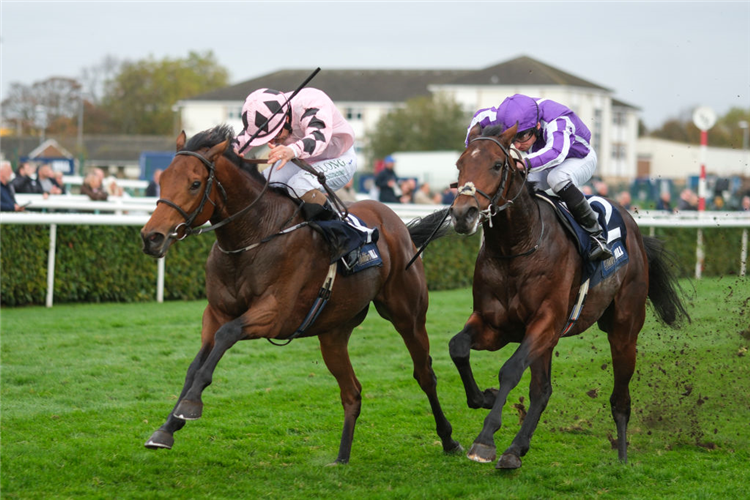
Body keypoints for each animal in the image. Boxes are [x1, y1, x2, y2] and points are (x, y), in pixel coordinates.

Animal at [138, 126, 462, 464]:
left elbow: (227, 335)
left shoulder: (276, 314)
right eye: (164, 179)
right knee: (352, 392)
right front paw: (166, 427)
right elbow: (196, 363)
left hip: (408, 315)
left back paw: (449, 439)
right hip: (334, 332)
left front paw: (189, 406)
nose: (152, 237)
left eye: (195, 183)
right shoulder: (215, 313)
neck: (254, 236)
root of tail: (397, 224)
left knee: (424, 373)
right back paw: (341, 457)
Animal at [450, 124, 692, 468]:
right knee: (542, 390)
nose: (462, 214)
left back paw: (622, 458)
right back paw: (515, 449)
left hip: (624, 330)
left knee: (620, 398)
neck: (516, 248)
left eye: (497, 165)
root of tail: (634, 230)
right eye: (459, 165)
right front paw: (484, 398)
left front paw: (484, 440)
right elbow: (458, 347)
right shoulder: (495, 324)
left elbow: (510, 369)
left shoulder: (546, 321)